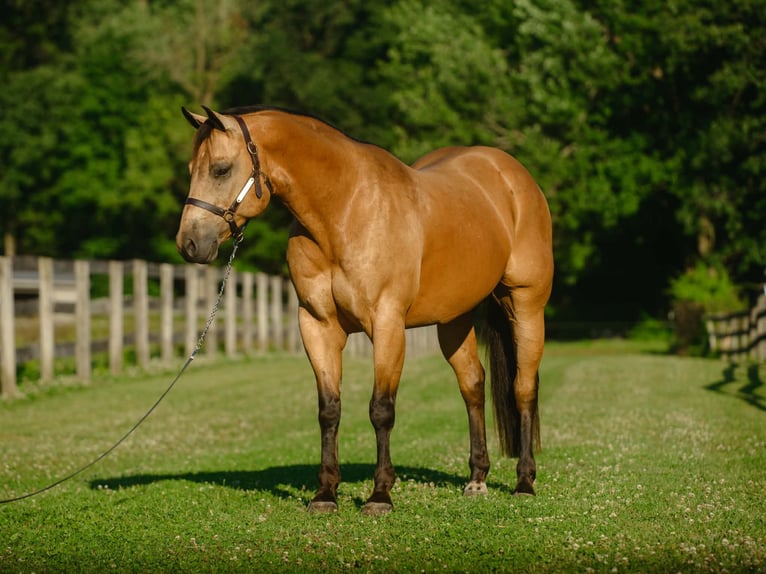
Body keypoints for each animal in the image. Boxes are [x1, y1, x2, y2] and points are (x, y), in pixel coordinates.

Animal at [175, 105, 553, 515]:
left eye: (221, 169)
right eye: (192, 168)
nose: (189, 243)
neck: (343, 210)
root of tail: (511, 175)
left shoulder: (386, 323)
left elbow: (381, 409)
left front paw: (380, 495)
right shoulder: (317, 325)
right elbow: (329, 409)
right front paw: (325, 493)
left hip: (527, 306)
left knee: (523, 388)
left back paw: (524, 482)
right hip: (454, 319)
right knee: (472, 385)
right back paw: (477, 479)